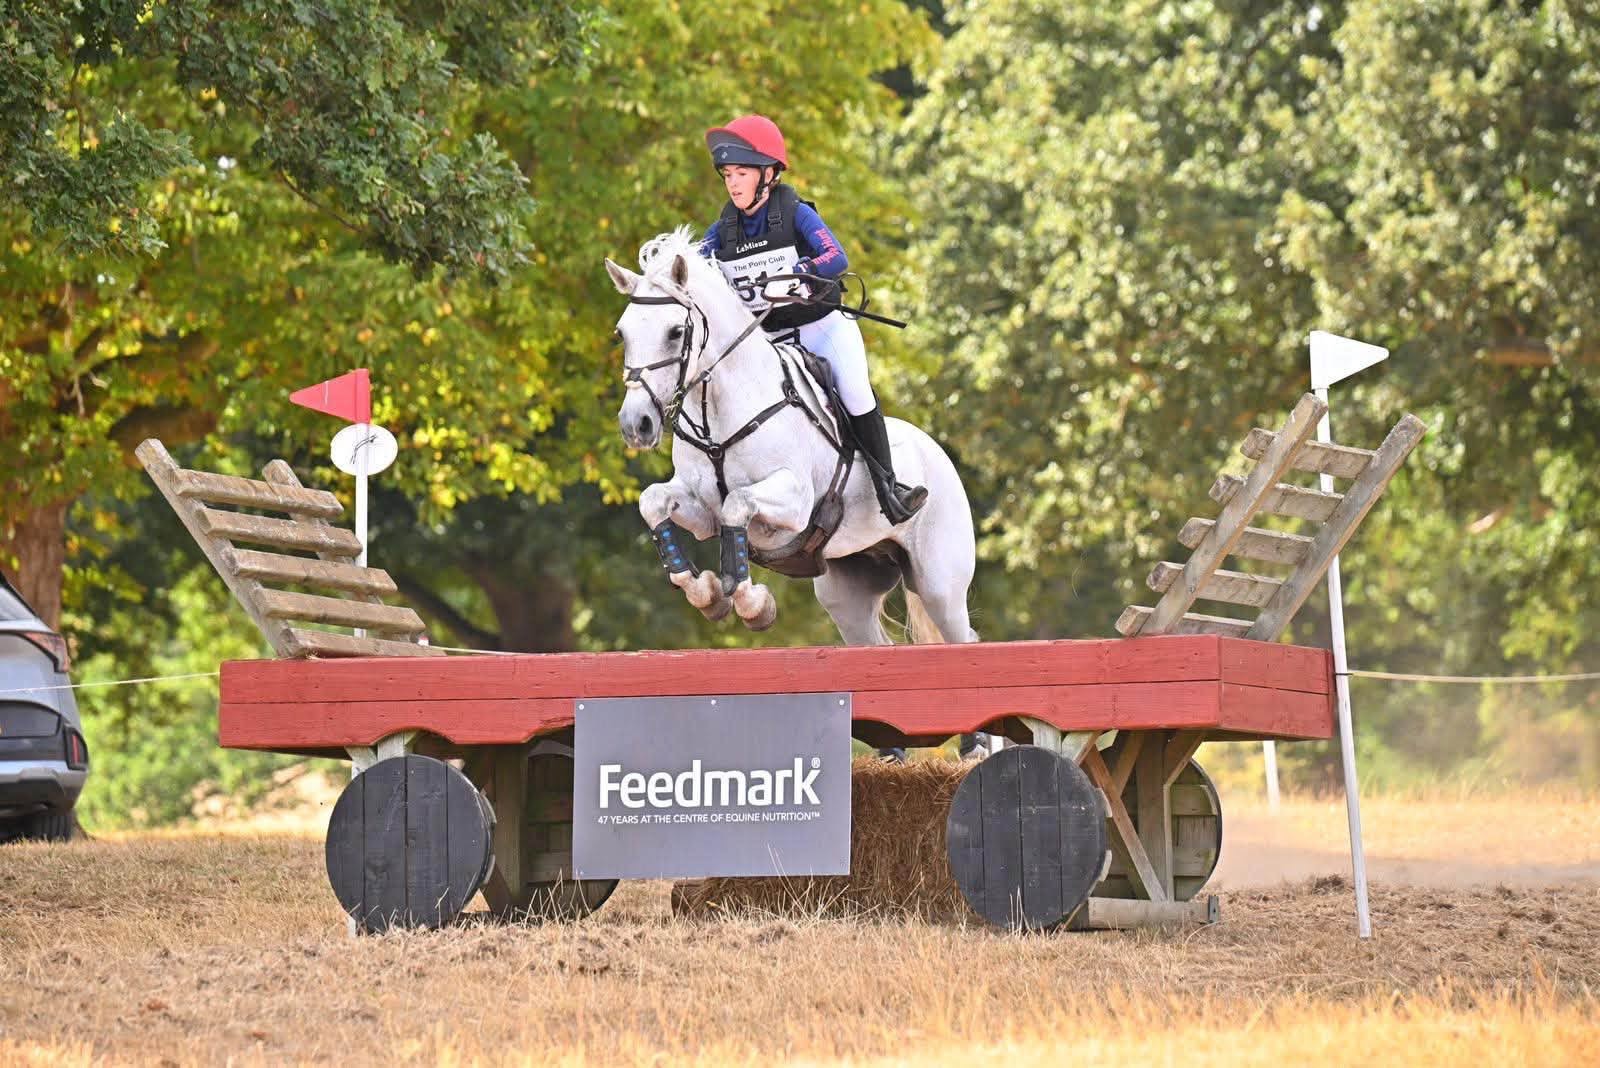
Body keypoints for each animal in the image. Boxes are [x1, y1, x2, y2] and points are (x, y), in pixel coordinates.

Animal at [605, 227, 979, 665]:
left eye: (675, 332)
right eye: (622, 333)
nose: (636, 425)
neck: (719, 411)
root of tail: (936, 451)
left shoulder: (795, 502)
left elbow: (738, 505)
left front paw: (752, 604)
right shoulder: (702, 510)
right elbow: (654, 501)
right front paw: (708, 593)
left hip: (940, 585)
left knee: (962, 632)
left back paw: (900, 496)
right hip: (849, 589)